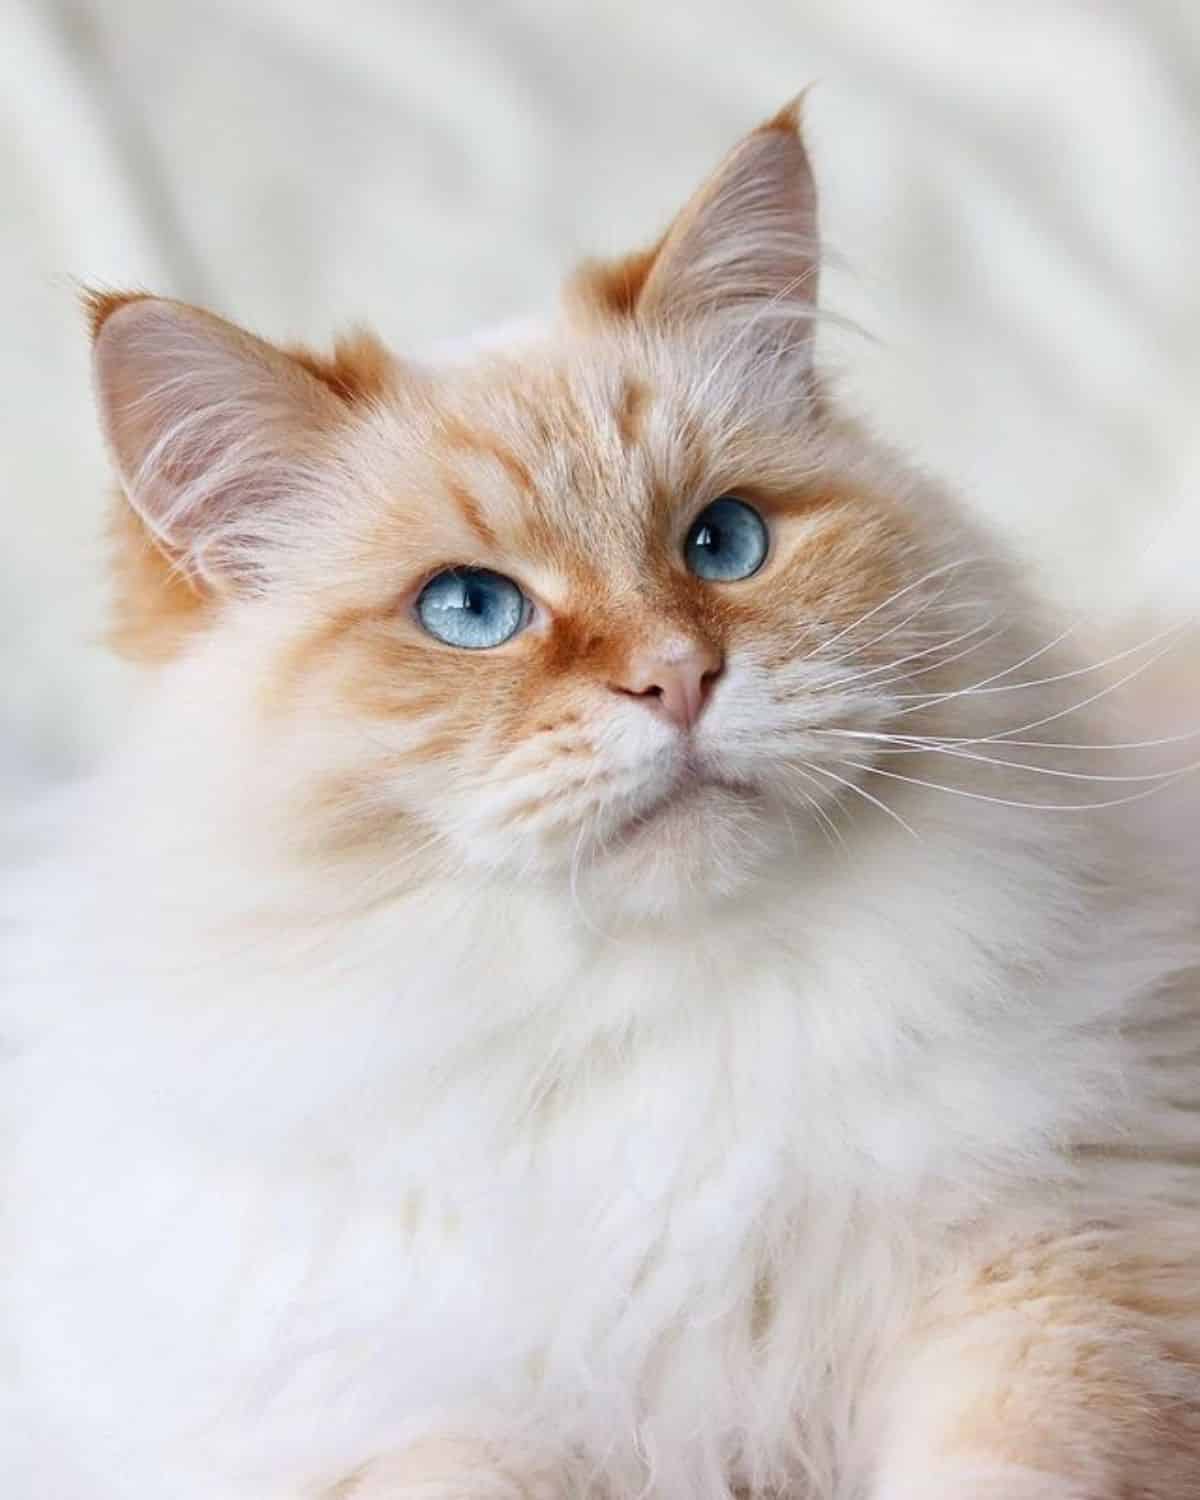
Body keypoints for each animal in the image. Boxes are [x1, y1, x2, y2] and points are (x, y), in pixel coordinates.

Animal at [2, 96, 1200, 1500]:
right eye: (471, 610)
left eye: (724, 543)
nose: (678, 679)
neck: (658, 1030)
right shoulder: (399, 1423)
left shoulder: (1069, 1270)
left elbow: (1002, 1465)